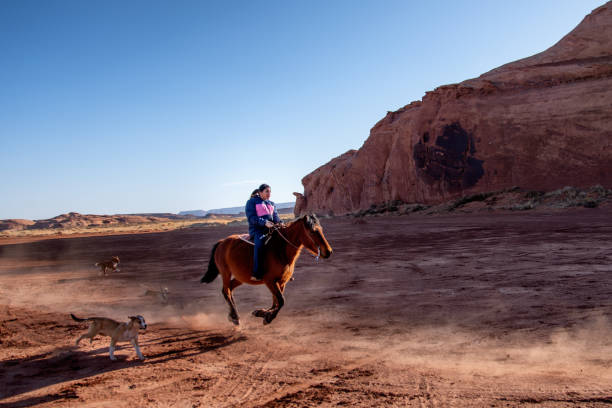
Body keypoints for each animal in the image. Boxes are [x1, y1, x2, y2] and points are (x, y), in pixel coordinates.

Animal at [200, 214, 334, 326]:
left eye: (321, 229)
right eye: (313, 231)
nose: (328, 251)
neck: (280, 250)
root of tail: (222, 242)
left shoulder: (282, 282)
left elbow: (276, 302)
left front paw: (262, 313)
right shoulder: (270, 281)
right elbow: (281, 301)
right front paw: (268, 317)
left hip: (240, 277)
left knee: (230, 289)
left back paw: (232, 315)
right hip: (225, 272)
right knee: (226, 291)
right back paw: (235, 317)